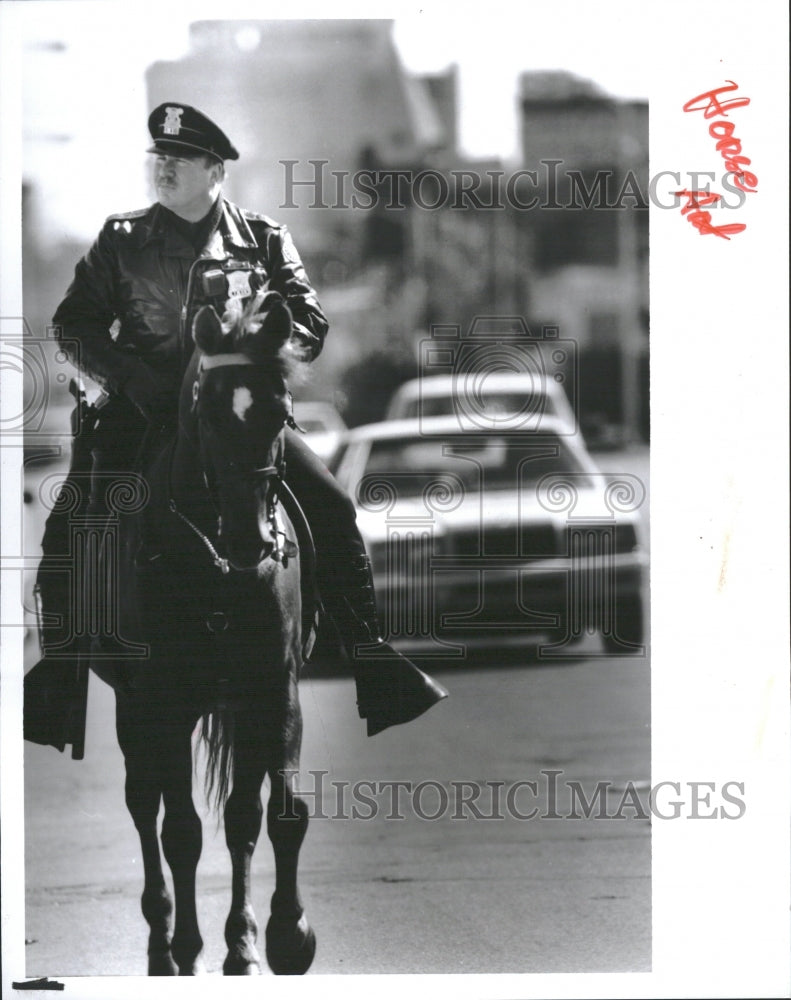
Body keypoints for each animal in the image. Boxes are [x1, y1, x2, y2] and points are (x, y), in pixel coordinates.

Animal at [98, 292, 318, 976]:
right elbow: (181, 833)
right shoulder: (163, 702)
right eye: (207, 412)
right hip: (132, 711)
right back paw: (161, 945)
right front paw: (190, 947)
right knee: (145, 807)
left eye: (280, 411)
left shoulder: (272, 690)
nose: (250, 539)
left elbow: (270, 813)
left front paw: (273, 938)